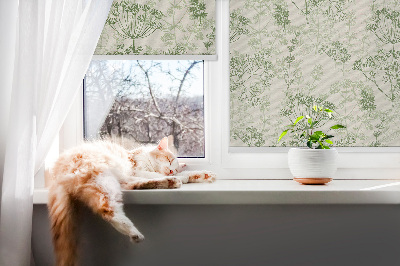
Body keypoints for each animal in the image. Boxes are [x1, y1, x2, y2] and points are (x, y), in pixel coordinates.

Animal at [48, 137, 216, 266]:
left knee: (134, 186)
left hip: (114, 182)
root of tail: (56, 172)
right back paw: (134, 232)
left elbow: (184, 174)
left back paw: (170, 182)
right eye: (169, 160)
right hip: (103, 178)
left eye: (174, 166)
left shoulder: (134, 174)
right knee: (107, 209)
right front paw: (183, 176)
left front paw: (203, 175)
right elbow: (153, 174)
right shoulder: (136, 170)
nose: (171, 171)